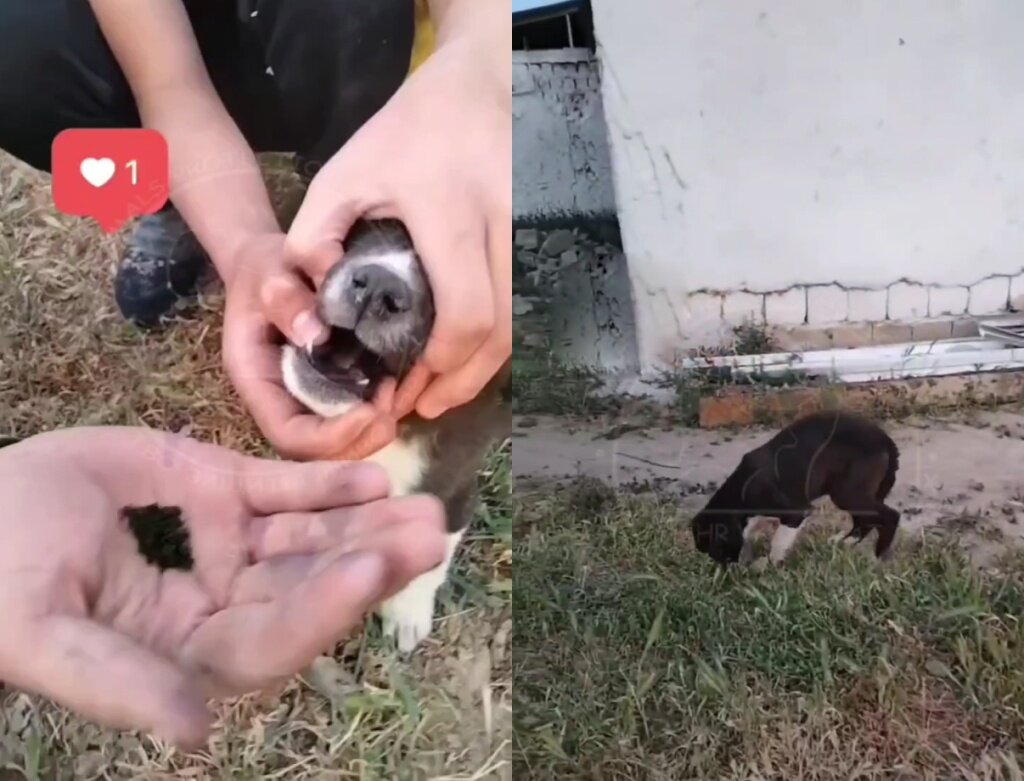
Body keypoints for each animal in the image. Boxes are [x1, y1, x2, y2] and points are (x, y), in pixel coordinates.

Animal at [692, 409, 901, 569]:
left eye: (717, 550)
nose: (729, 571)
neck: (739, 498)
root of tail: (886, 440)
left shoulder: (795, 512)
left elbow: (778, 542)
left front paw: (769, 566)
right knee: (865, 520)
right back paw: (844, 542)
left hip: (846, 492)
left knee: (890, 516)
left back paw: (878, 558)